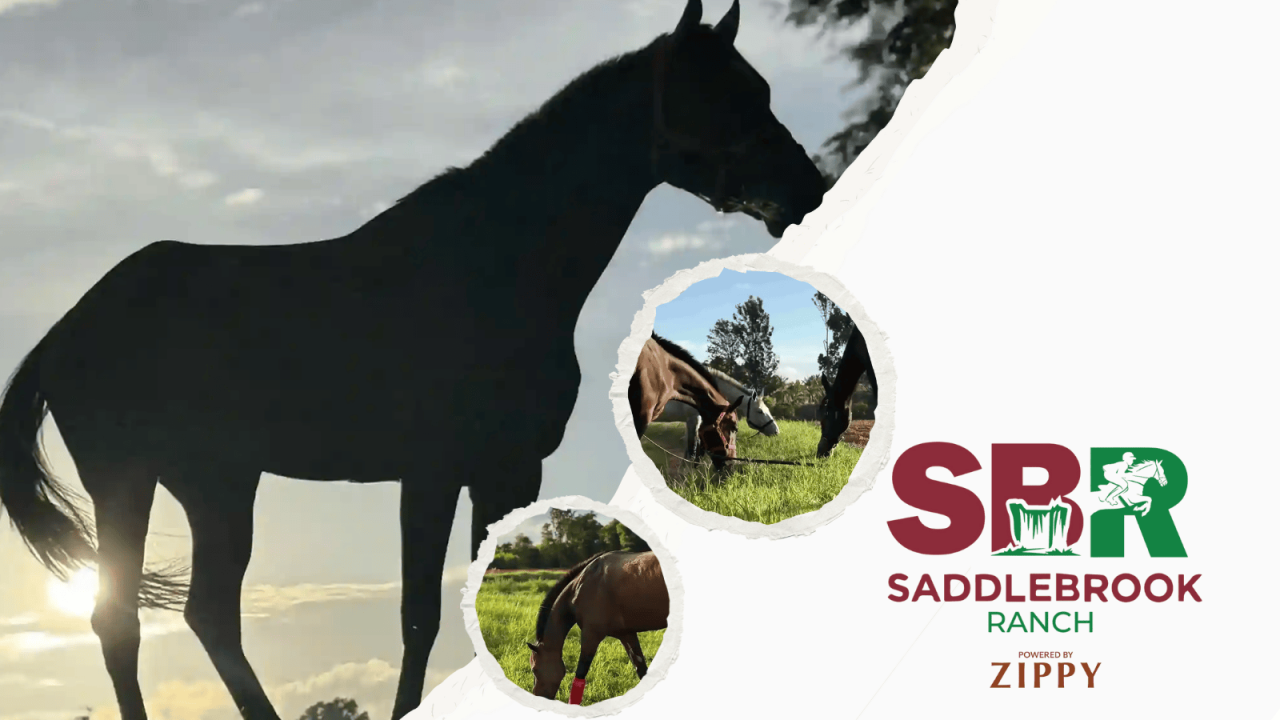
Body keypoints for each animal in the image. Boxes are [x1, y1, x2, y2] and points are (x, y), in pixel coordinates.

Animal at [526, 551, 668, 705]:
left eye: (534, 670)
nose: (537, 697)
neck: (579, 587)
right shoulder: (626, 634)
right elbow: (641, 670)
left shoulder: (591, 636)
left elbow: (579, 676)